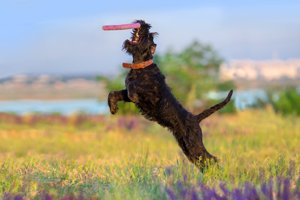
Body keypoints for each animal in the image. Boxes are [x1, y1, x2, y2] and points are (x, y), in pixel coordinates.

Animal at [108, 19, 232, 170]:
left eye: (148, 36)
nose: (142, 22)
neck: (141, 66)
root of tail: (196, 118)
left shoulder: (144, 95)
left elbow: (132, 90)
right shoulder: (127, 94)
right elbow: (114, 93)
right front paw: (113, 108)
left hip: (193, 143)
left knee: (211, 159)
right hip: (187, 147)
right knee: (203, 160)